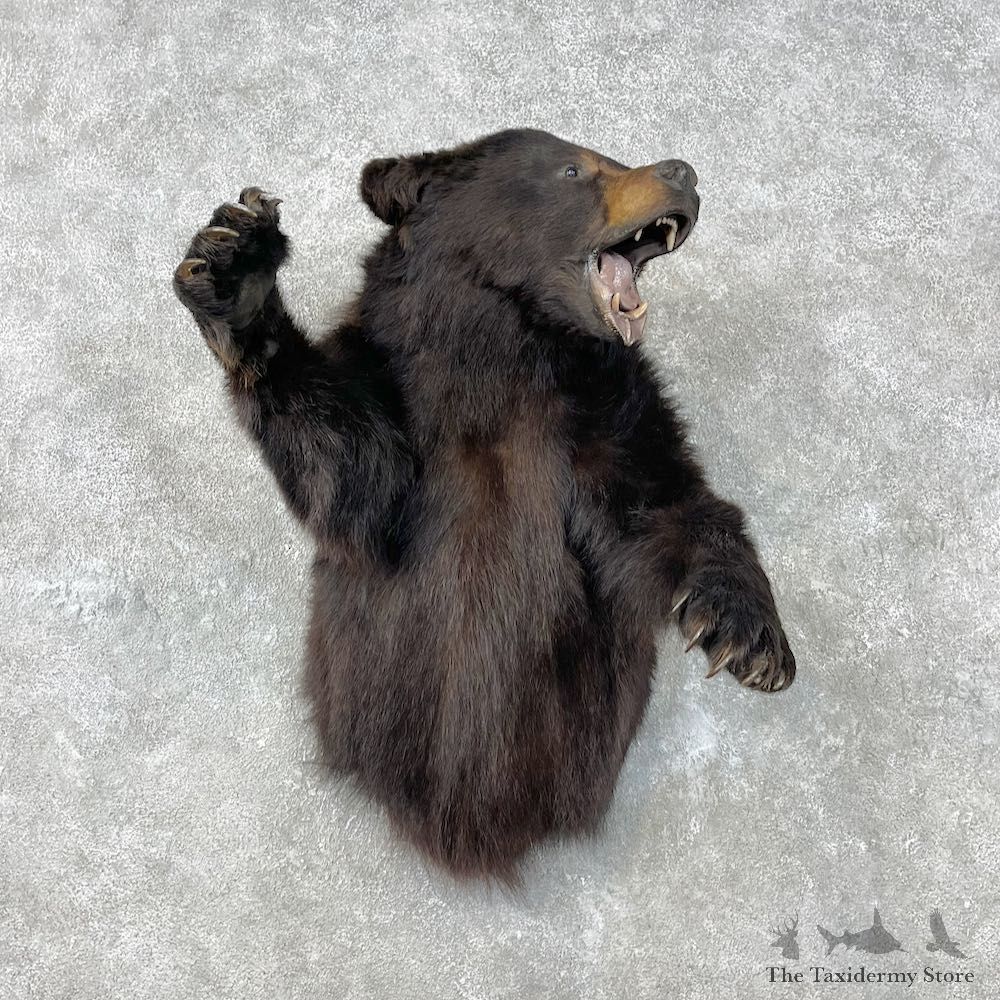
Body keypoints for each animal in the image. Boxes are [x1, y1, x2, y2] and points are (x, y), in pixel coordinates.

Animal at [173, 128, 795, 881]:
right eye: (575, 167)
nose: (685, 172)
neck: (506, 346)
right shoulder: (391, 384)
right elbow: (350, 476)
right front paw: (236, 268)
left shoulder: (604, 411)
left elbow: (663, 504)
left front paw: (751, 639)